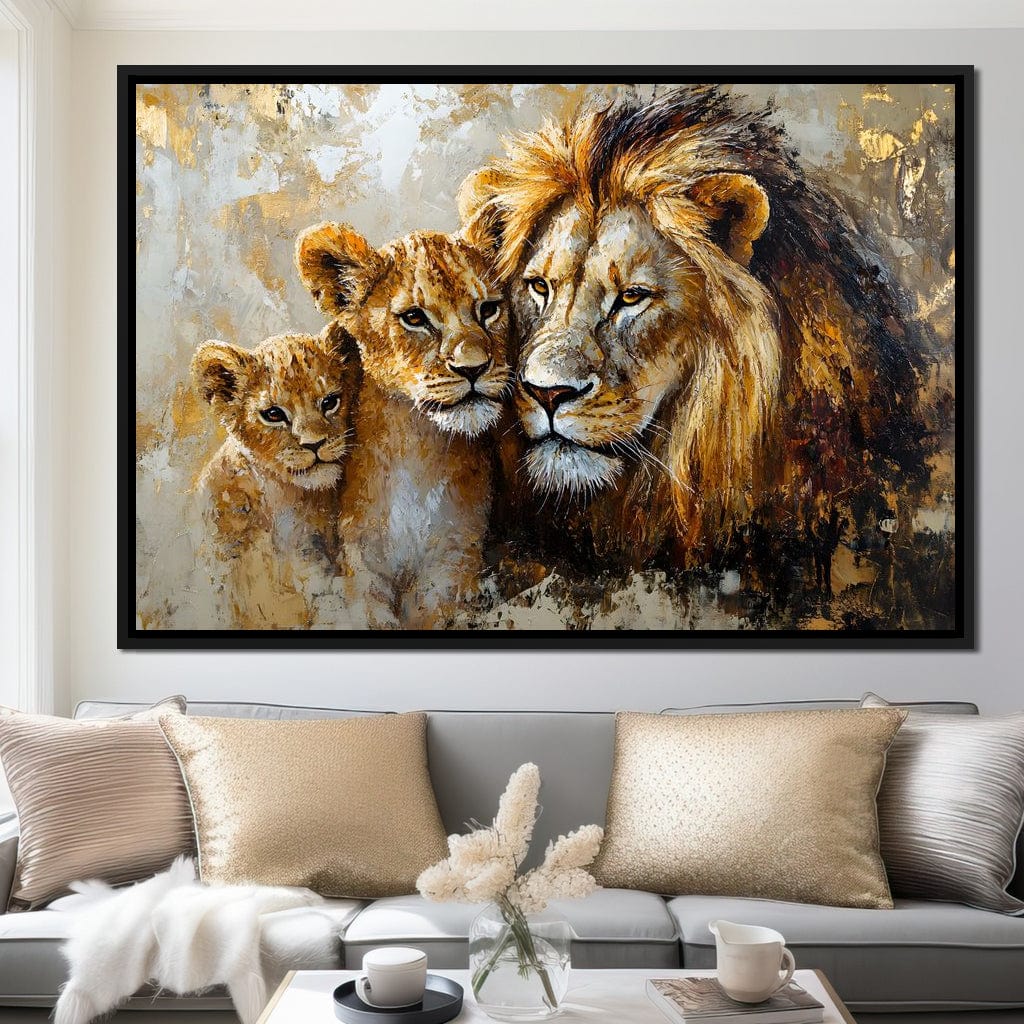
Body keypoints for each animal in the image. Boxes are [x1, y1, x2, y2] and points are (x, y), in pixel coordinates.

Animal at [295, 224, 512, 628]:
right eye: (414, 318)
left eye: (489, 309)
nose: (474, 367)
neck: (417, 447)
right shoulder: (361, 558)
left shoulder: (454, 559)